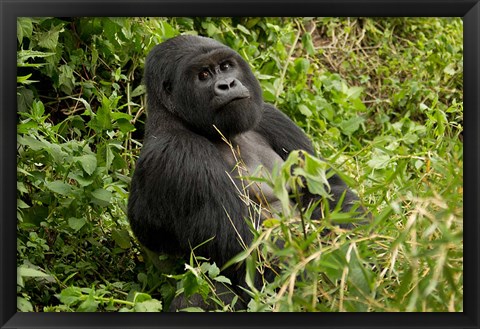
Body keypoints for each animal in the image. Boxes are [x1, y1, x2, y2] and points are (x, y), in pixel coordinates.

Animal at [127, 35, 364, 310]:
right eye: (203, 75)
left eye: (226, 66)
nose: (228, 84)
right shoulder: (181, 156)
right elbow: (258, 253)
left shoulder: (271, 117)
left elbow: (330, 193)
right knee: (203, 292)